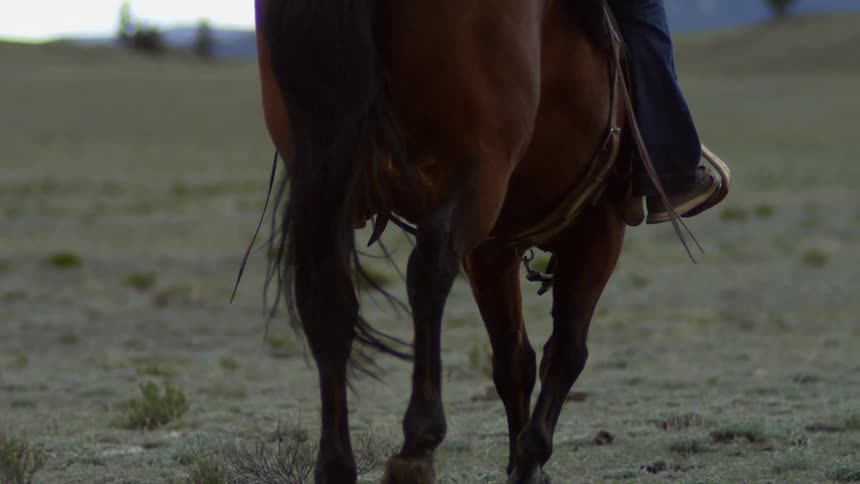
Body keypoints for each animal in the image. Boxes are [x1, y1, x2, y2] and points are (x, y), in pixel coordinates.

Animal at [253, 0, 657, 482]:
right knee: (429, 270)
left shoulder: (492, 247)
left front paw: (523, 461)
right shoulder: (601, 223)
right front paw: (530, 459)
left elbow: (514, 358)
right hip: (478, 169)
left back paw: (336, 464)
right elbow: (566, 351)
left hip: (325, 170)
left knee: (327, 292)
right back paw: (416, 447)